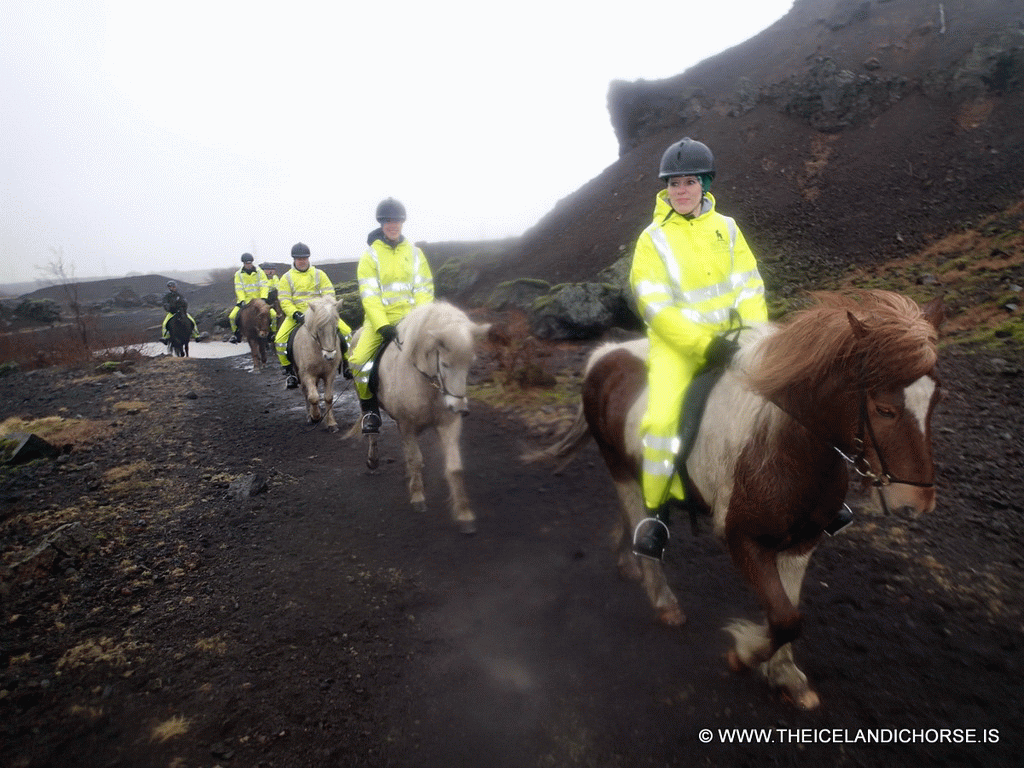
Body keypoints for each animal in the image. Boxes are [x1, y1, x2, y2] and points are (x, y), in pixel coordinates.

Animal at [294, 296, 346, 434]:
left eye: (336, 328)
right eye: (319, 328)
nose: (329, 356)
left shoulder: (330, 374)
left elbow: (328, 397)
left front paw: (331, 423)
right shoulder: (307, 374)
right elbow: (313, 397)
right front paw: (315, 416)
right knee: (305, 392)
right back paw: (310, 416)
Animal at [348, 301, 491, 536]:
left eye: (470, 363)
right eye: (445, 364)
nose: (460, 408)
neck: (426, 382)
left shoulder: (448, 424)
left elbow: (455, 467)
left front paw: (464, 513)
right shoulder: (407, 424)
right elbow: (415, 459)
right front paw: (417, 497)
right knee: (372, 431)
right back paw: (373, 459)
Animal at [536, 292, 942, 708]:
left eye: (934, 400)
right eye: (884, 409)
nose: (917, 501)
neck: (783, 445)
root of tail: (604, 355)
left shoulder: (803, 543)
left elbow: (789, 610)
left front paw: (785, 676)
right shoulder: (744, 540)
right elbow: (785, 620)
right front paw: (744, 655)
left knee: (632, 515)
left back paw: (626, 559)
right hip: (619, 467)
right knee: (636, 516)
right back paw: (663, 599)